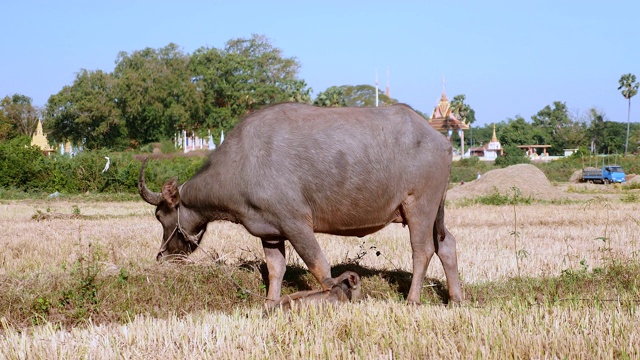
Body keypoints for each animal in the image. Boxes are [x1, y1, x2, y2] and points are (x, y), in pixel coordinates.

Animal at [138, 102, 462, 306]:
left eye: (160, 216)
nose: (162, 256)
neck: (242, 164)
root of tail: (442, 141)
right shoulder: (270, 232)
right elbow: (276, 268)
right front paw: (270, 303)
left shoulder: (296, 224)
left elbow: (319, 265)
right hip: (437, 210)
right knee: (446, 244)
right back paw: (456, 298)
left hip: (419, 206)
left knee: (423, 250)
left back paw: (412, 299)